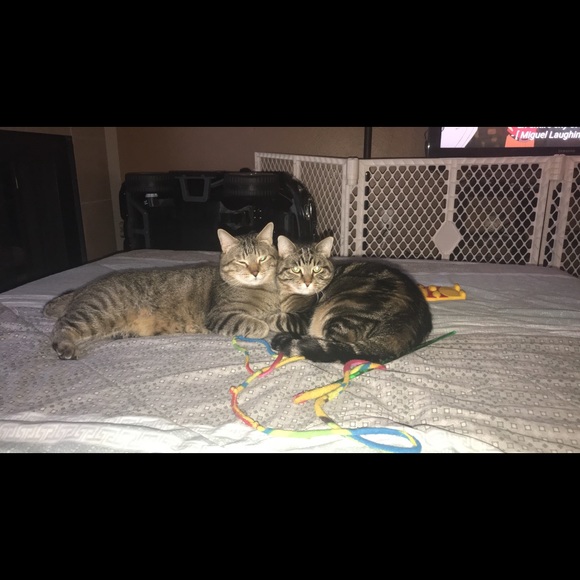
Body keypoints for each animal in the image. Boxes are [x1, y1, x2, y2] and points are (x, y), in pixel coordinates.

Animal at [44, 222, 280, 360]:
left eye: (262, 259)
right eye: (242, 262)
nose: (255, 272)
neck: (263, 289)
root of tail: (81, 289)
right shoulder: (220, 316)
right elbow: (258, 325)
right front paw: (263, 325)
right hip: (95, 315)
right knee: (61, 326)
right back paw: (65, 347)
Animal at [270, 235, 433, 364]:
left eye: (317, 269)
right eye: (296, 269)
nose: (307, 282)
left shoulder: (302, 319)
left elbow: (277, 320)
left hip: (343, 312)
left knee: (330, 345)